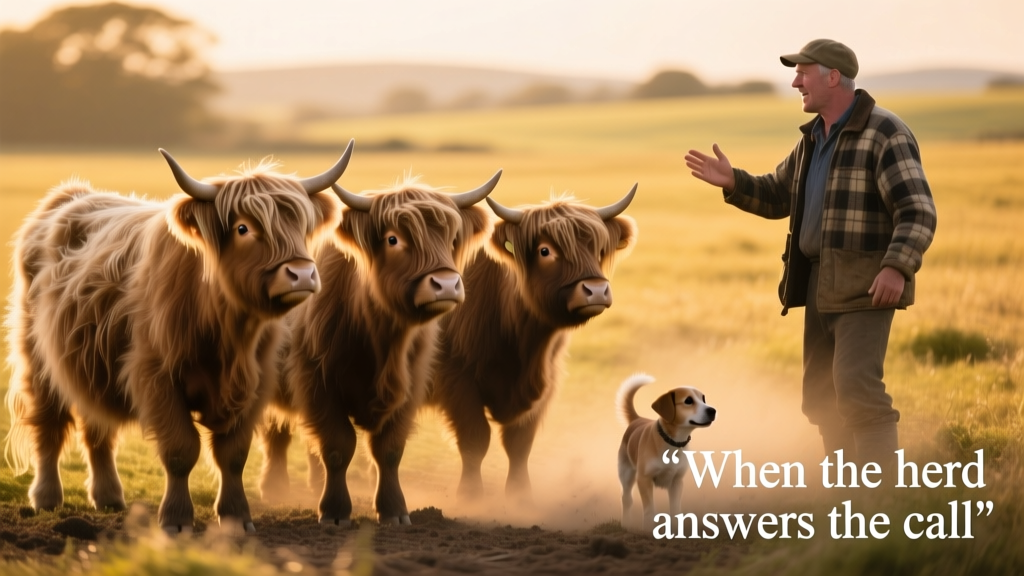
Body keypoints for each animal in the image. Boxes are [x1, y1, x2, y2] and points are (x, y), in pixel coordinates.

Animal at [4, 142, 352, 534]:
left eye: (303, 225)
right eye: (243, 228)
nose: (302, 274)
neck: (228, 334)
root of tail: (70, 195)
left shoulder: (256, 382)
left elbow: (233, 454)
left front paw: (236, 516)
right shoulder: (156, 376)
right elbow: (180, 450)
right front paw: (176, 520)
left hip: (92, 365)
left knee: (98, 429)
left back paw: (108, 498)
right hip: (38, 360)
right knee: (49, 425)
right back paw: (47, 498)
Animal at [258, 171, 500, 526]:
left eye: (452, 238)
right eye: (393, 239)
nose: (446, 285)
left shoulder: (410, 385)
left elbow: (389, 450)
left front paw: (394, 510)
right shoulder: (315, 380)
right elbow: (337, 445)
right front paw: (334, 511)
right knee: (276, 433)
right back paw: (274, 489)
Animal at [428, 185, 638, 501]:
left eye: (599, 249)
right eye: (545, 250)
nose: (596, 290)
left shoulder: (545, 379)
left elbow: (519, 442)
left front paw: (520, 496)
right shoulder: (456, 377)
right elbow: (475, 438)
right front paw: (470, 495)